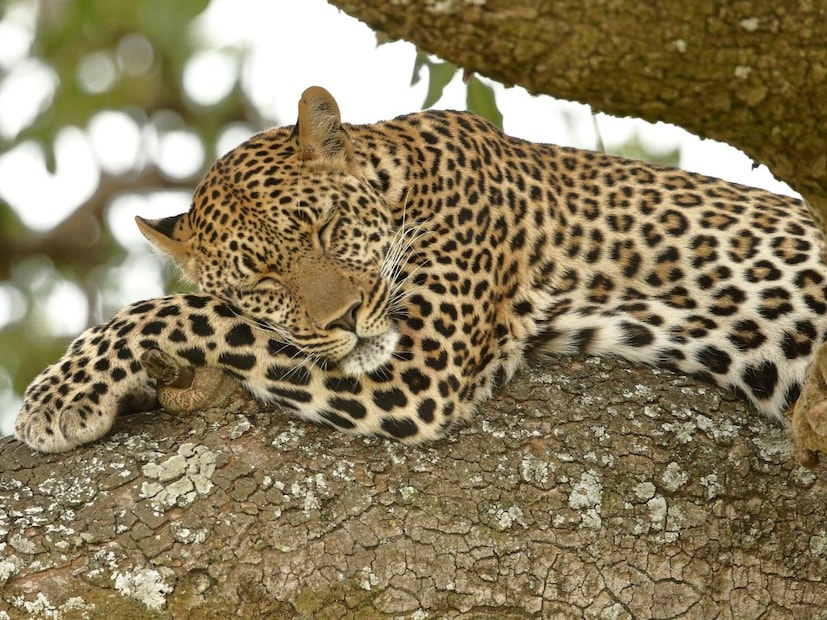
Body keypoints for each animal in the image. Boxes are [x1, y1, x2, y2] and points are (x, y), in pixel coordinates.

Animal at [14, 85, 827, 454]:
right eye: (261, 283)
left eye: (324, 229)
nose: (342, 318)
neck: (405, 174)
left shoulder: (418, 372)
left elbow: (179, 309)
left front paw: (56, 394)